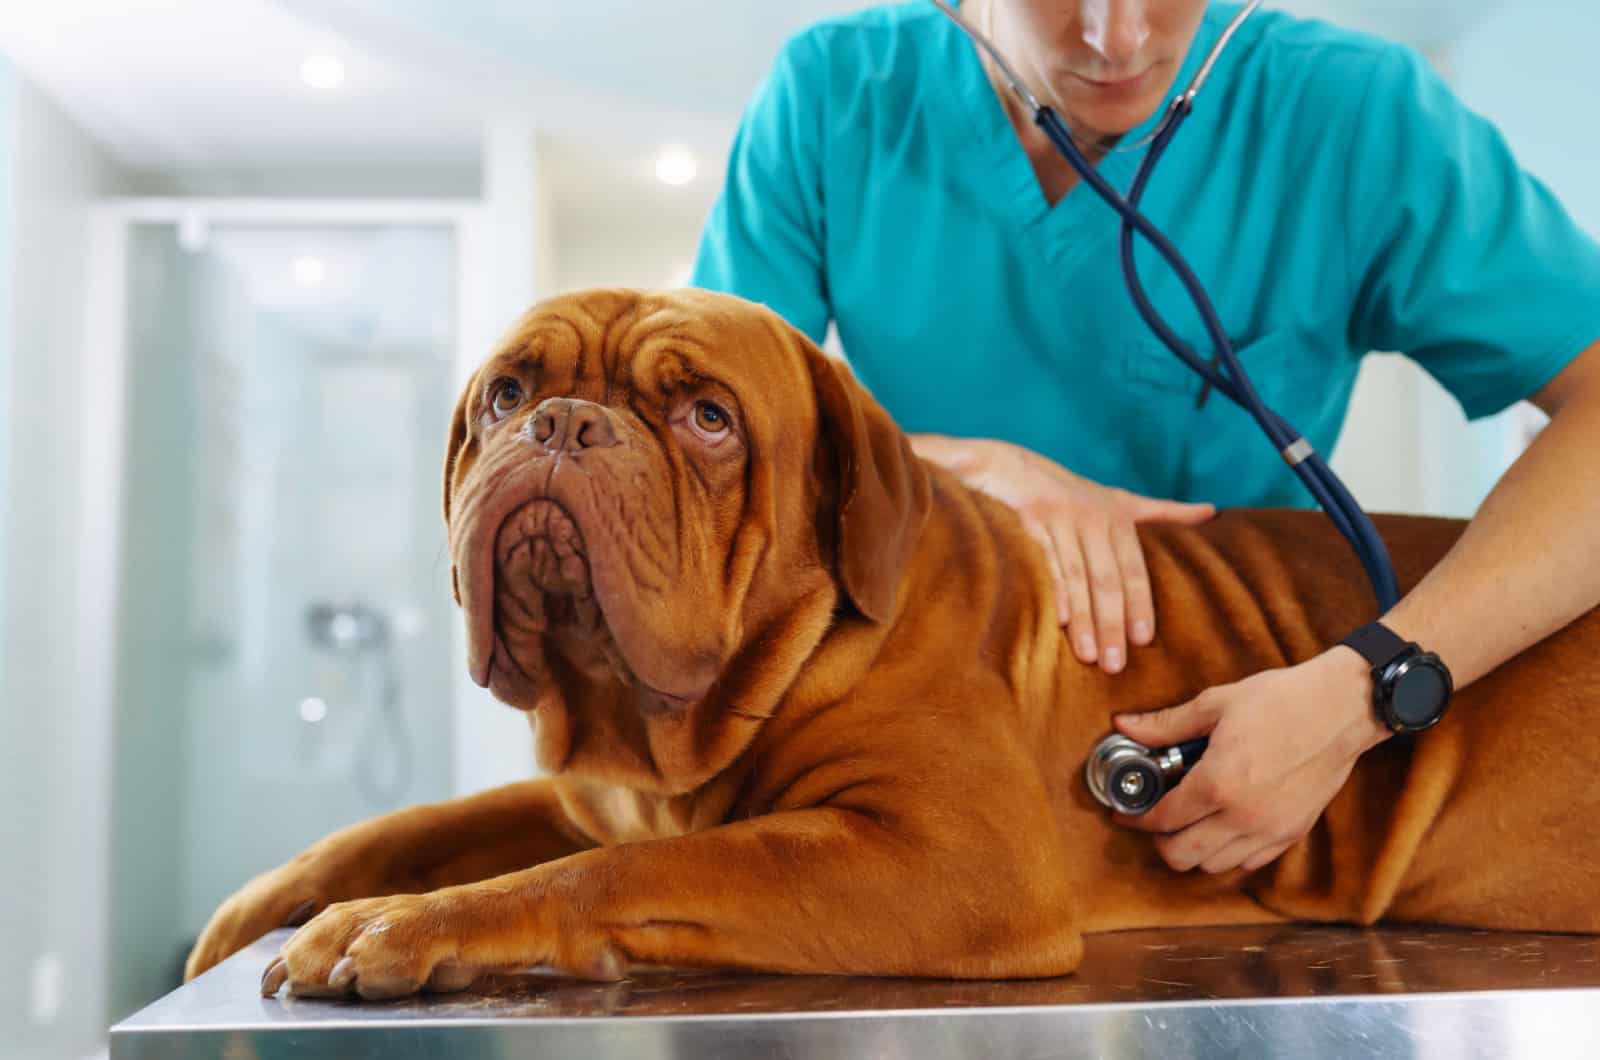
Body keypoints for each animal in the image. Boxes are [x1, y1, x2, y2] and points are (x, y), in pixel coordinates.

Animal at [184, 286, 1600, 999]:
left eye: (706, 417)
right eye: (508, 392)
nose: (564, 426)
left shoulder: (945, 858)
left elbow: (607, 873)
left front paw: (398, 929)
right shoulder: (589, 791)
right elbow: (419, 824)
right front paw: (266, 904)